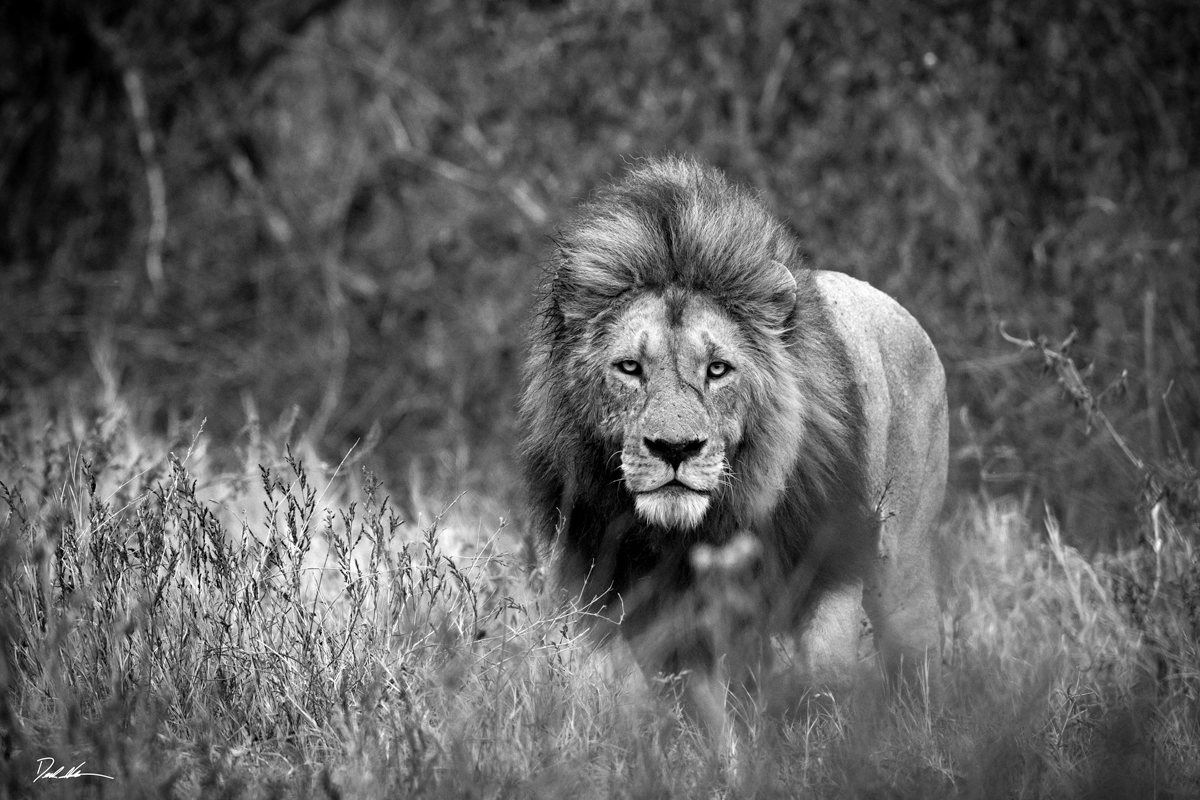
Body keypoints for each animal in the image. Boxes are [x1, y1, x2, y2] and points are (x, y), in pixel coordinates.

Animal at [520, 155, 950, 738]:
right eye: (630, 368)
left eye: (718, 369)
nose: (674, 449)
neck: (687, 534)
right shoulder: (611, 597)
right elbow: (668, 710)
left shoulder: (830, 567)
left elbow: (828, 680)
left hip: (903, 570)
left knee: (917, 663)